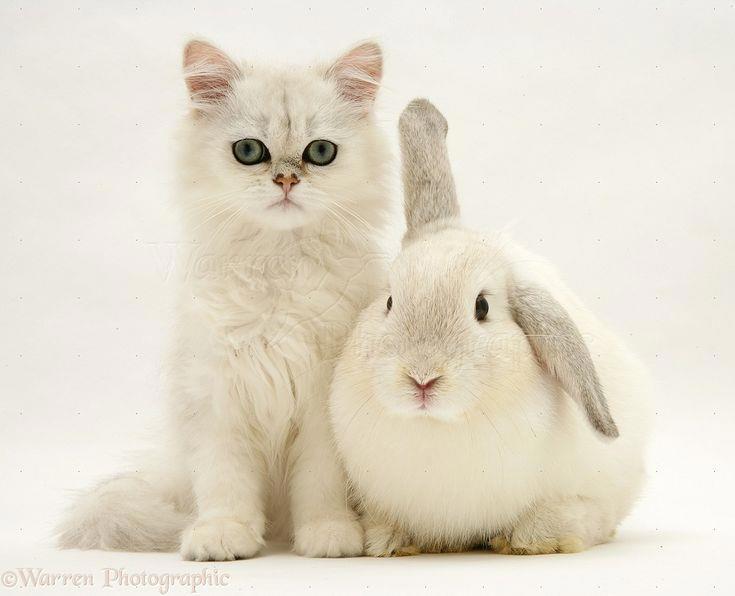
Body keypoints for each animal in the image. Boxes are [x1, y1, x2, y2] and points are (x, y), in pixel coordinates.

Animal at [56, 38, 390, 560]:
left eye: (320, 152)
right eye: (250, 151)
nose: (286, 181)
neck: (276, 262)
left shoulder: (323, 405)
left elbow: (320, 484)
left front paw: (328, 534)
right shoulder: (216, 396)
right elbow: (224, 482)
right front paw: (221, 535)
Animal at [328, 99, 653, 556]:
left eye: (482, 307)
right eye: (389, 301)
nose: (422, 378)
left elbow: (569, 516)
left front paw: (532, 539)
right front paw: (388, 540)